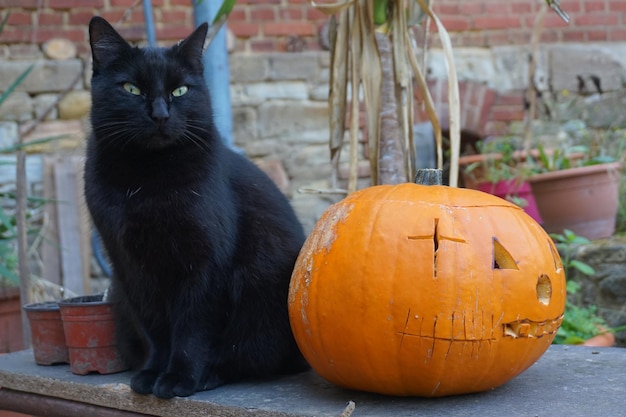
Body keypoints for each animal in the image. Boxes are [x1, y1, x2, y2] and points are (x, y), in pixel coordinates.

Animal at [83, 16, 308, 398]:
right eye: (131, 88)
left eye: (180, 91)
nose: (160, 114)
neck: (148, 180)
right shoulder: (129, 264)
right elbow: (156, 327)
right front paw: (153, 372)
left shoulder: (205, 262)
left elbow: (191, 327)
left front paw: (179, 378)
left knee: (251, 357)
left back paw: (209, 375)